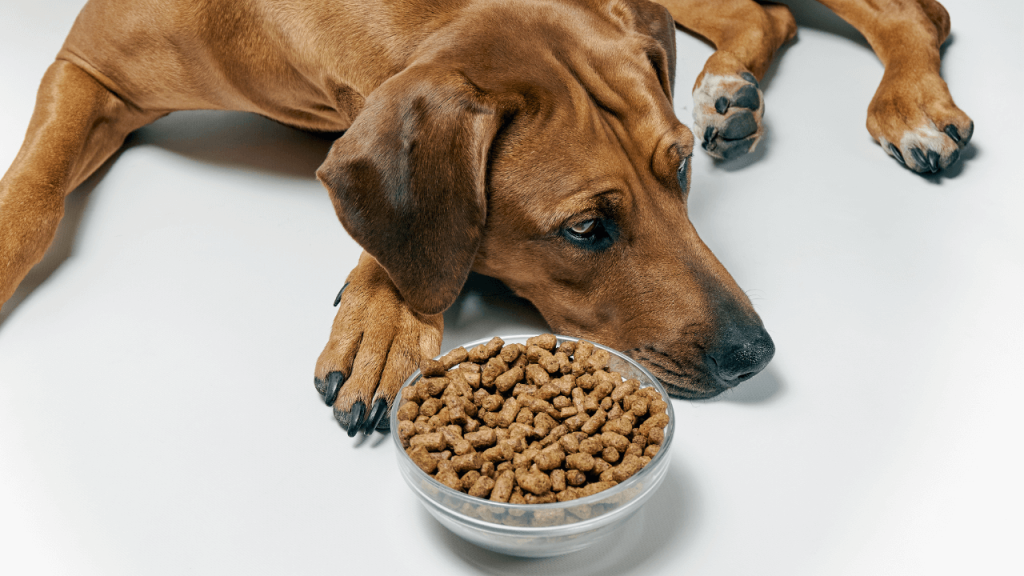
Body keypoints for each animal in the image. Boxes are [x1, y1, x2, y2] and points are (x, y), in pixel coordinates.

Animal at [0, 0, 966, 430]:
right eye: (586, 229)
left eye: (680, 170)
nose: (754, 354)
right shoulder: (87, 65)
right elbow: (32, 199)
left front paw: (384, 314)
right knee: (767, 14)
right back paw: (729, 86)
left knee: (912, 10)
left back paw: (911, 103)